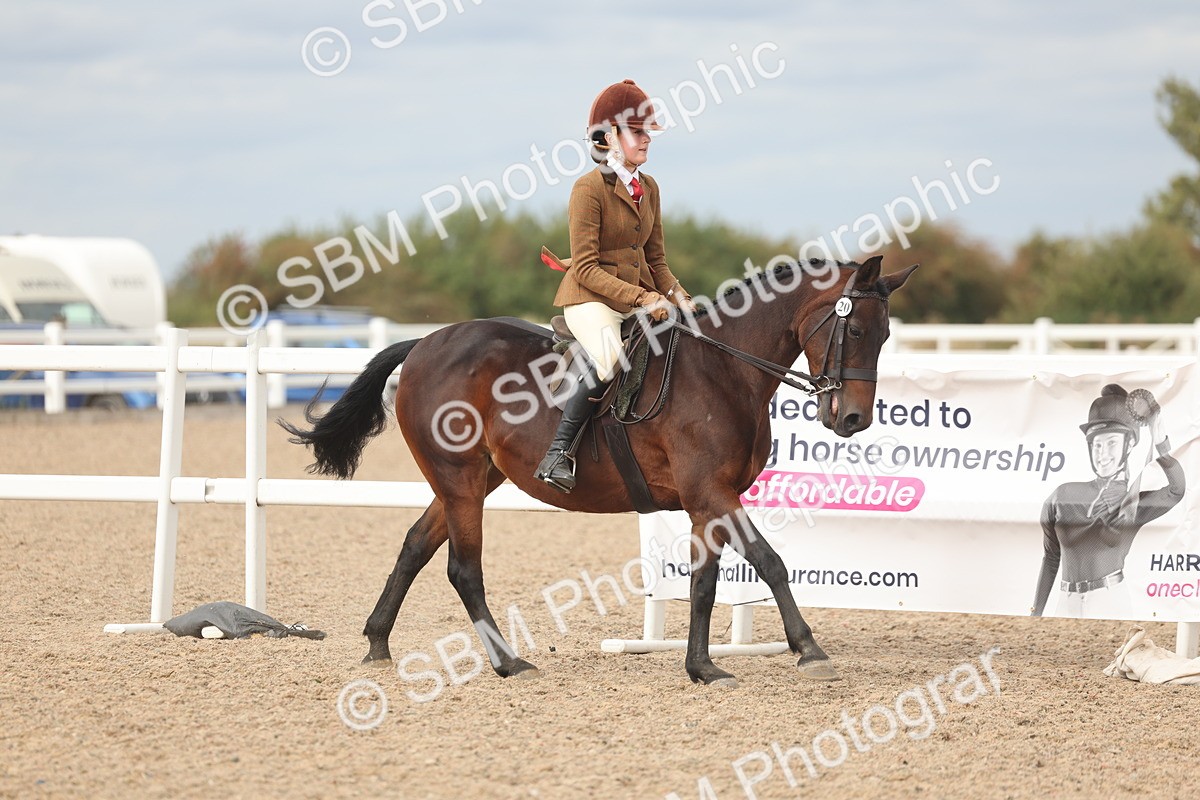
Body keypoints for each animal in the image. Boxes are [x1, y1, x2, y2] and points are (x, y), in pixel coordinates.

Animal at [281, 255, 917, 687]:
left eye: (887, 334)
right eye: (855, 329)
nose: (853, 419)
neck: (724, 370)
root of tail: (423, 345)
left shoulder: (706, 500)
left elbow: (705, 583)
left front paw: (702, 666)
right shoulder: (711, 492)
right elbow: (770, 561)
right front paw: (808, 649)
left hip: (473, 479)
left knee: (415, 543)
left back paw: (377, 642)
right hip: (460, 480)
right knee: (463, 569)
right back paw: (508, 662)